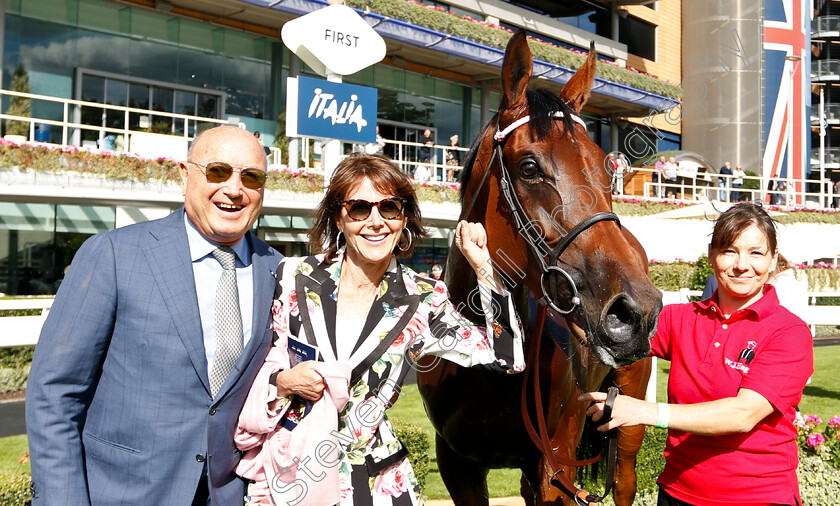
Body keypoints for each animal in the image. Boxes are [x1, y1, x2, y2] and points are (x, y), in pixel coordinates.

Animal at [418, 32, 664, 506]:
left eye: (606, 166)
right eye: (529, 167)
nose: (636, 311)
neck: (485, 363)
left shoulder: (555, 464)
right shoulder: (457, 464)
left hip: (628, 417)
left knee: (624, 479)